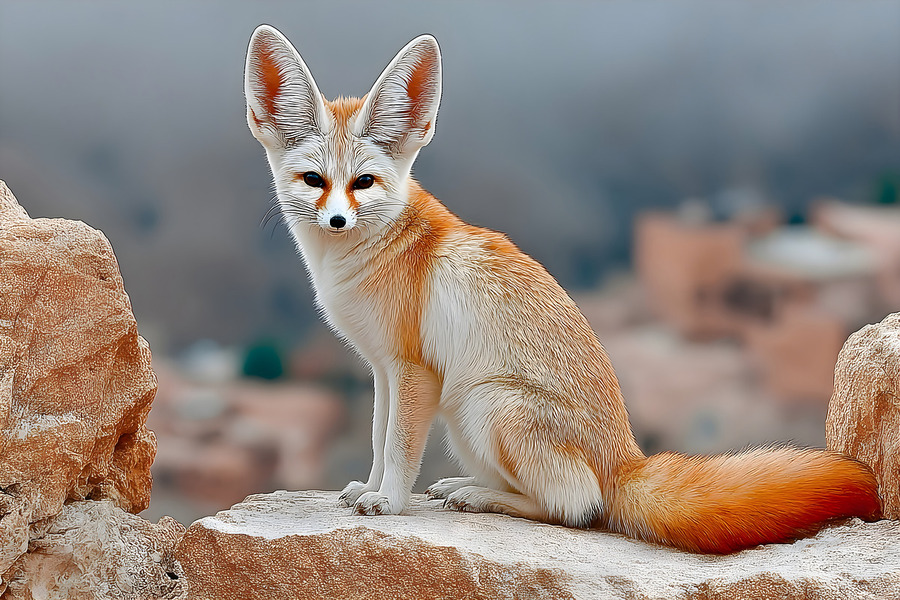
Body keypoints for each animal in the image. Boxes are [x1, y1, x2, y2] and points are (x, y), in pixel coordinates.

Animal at [243, 25, 881, 554]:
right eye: (314, 180)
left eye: (364, 183)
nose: (336, 221)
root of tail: (627, 460)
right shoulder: (382, 369)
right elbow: (380, 443)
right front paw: (367, 490)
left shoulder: (413, 371)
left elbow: (399, 450)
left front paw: (390, 504)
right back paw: (470, 487)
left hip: (484, 405)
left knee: (576, 509)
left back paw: (484, 496)